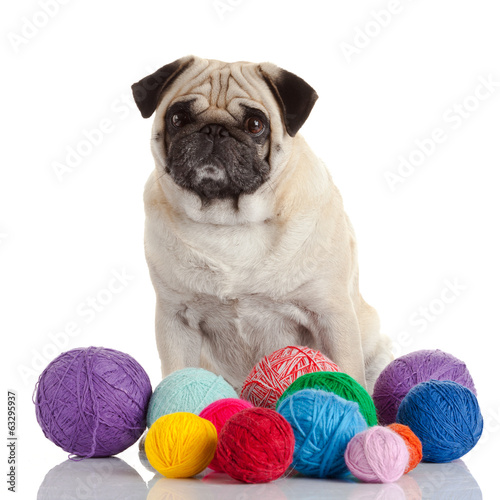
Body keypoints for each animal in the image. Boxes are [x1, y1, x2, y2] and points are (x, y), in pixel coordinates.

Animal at [131, 56, 392, 392]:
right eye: (178, 118)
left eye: (255, 125)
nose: (214, 130)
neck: (230, 221)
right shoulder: (176, 319)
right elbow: (178, 373)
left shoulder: (332, 315)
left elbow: (347, 372)